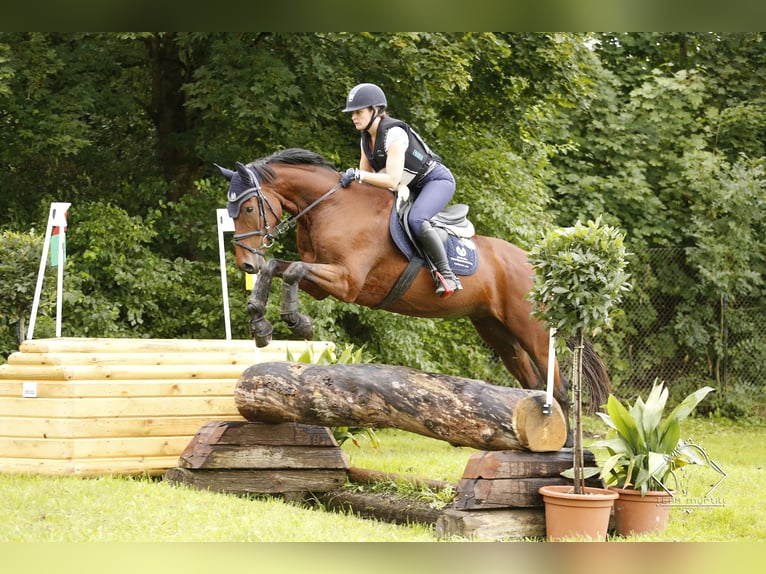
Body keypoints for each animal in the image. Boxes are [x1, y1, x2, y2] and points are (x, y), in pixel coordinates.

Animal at [219, 148, 608, 446]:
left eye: (249, 209)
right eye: (232, 212)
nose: (245, 263)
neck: (329, 208)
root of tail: (537, 267)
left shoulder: (346, 281)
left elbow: (293, 271)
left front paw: (297, 323)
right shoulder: (322, 280)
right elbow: (279, 267)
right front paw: (260, 323)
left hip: (531, 329)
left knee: (557, 386)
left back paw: (562, 446)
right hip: (495, 330)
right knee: (531, 382)